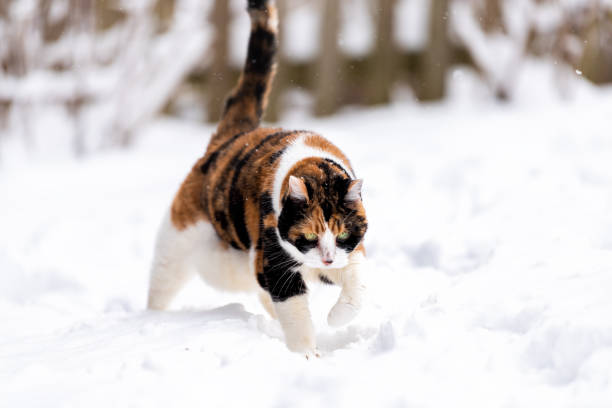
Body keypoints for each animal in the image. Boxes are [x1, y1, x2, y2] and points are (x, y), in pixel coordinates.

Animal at [148, 0, 368, 356]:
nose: (327, 258)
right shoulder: (276, 260)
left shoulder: (350, 252)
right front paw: (306, 356)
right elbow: (294, 312)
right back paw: (151, 319)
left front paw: (337, 317)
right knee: (163, 282)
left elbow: (357, 282)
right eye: (309, 235)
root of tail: (233, 136)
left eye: (343, 233)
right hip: (183, 244)